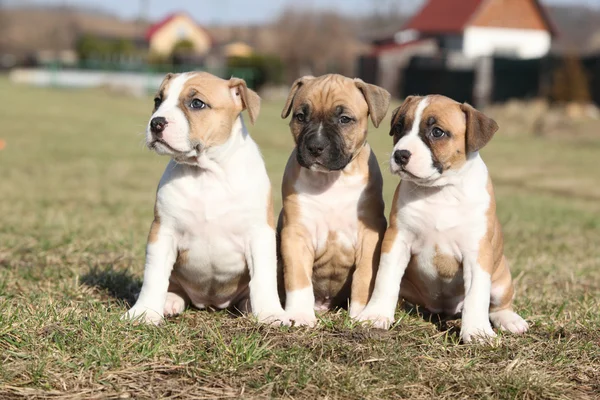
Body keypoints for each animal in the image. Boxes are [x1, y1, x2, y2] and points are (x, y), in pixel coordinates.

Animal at [123, 70, 284, 324]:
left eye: (196, 103)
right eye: (158, 101)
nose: (156, 123)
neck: (206, 173)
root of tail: (210, 303)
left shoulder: (259, 233)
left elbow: (263, 277)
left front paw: (271, 313)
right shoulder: (163, 231)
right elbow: (154, 276)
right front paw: (144, 312)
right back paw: (170, 301)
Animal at [278, 74, 392, 324]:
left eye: (344, 119)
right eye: (300, 117)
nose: (315, 147)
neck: (331, 180)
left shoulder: (369, 234)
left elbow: (364, 276)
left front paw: (361, 314)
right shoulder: (296, 233)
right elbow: (298, 277)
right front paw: (300, 314)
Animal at [358, 95, 528, 342]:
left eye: (437, 132)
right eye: (399, 128)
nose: (400, 155)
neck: (441, 191)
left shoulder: (477, 252)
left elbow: (477, 295)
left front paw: (477, 332)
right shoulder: (397, 240)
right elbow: (385, 279)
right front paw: (376, 315)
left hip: (501, 278)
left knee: (499, 305)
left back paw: (511, 320)